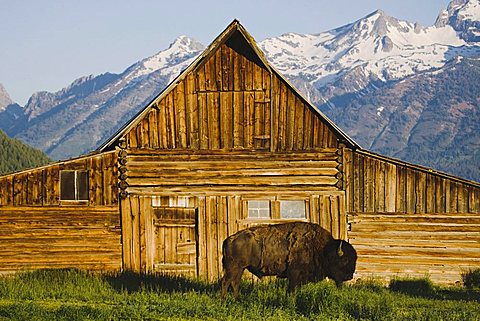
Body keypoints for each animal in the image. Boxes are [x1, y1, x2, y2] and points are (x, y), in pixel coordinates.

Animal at [221, 221, 356, 296]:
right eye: (345, 260)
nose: (350, 276)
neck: (323, 249)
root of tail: (228, 239)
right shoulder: (294, 275)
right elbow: (292, 291)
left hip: (240, 269)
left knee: (235, 283)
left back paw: (237, 300)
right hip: (233, 268)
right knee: (225, 282)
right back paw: (223, 301)